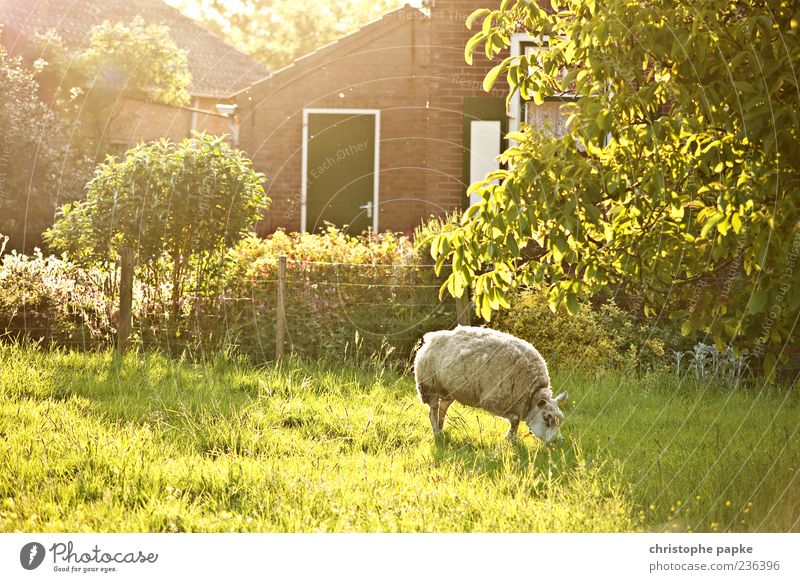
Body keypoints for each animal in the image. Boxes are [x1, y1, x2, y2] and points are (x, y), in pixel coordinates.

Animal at [412, 326, 568, 444]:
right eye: (546, 418)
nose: (559, 441)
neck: (532, 393)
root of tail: (431, 337)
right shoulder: (494, 402)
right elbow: (515, 420)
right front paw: (509, 438)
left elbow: (516, 421)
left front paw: (512, 440)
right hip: (429, 387)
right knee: (432, 412)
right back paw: (437, 434)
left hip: (448, 390)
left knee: (442, 409)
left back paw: (441, 429)